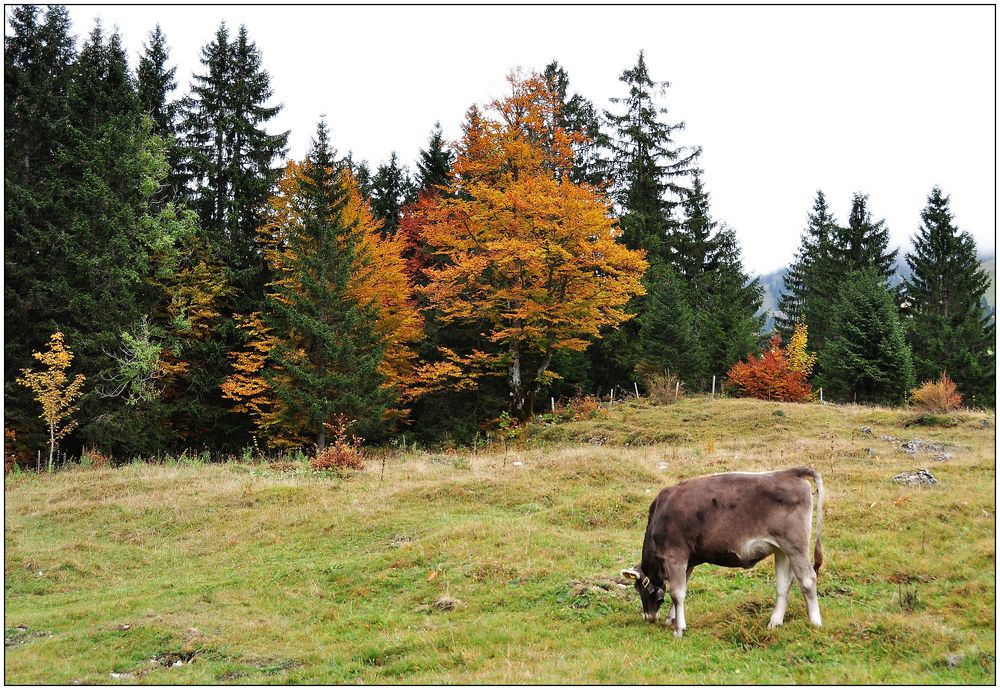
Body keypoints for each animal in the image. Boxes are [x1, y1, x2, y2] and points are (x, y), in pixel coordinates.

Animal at [620, 468, 824, 636]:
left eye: (637, 587)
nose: (648, 617)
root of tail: (791, 472)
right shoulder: (688, 561)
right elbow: (683, 587)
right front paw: (673, 619)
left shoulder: (675, 556)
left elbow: (677, 593)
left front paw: (679, 629)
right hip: (782, 549)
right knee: (783, 584)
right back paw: (775, 622)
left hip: (795, 545)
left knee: (808, 579)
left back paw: (815, 622)